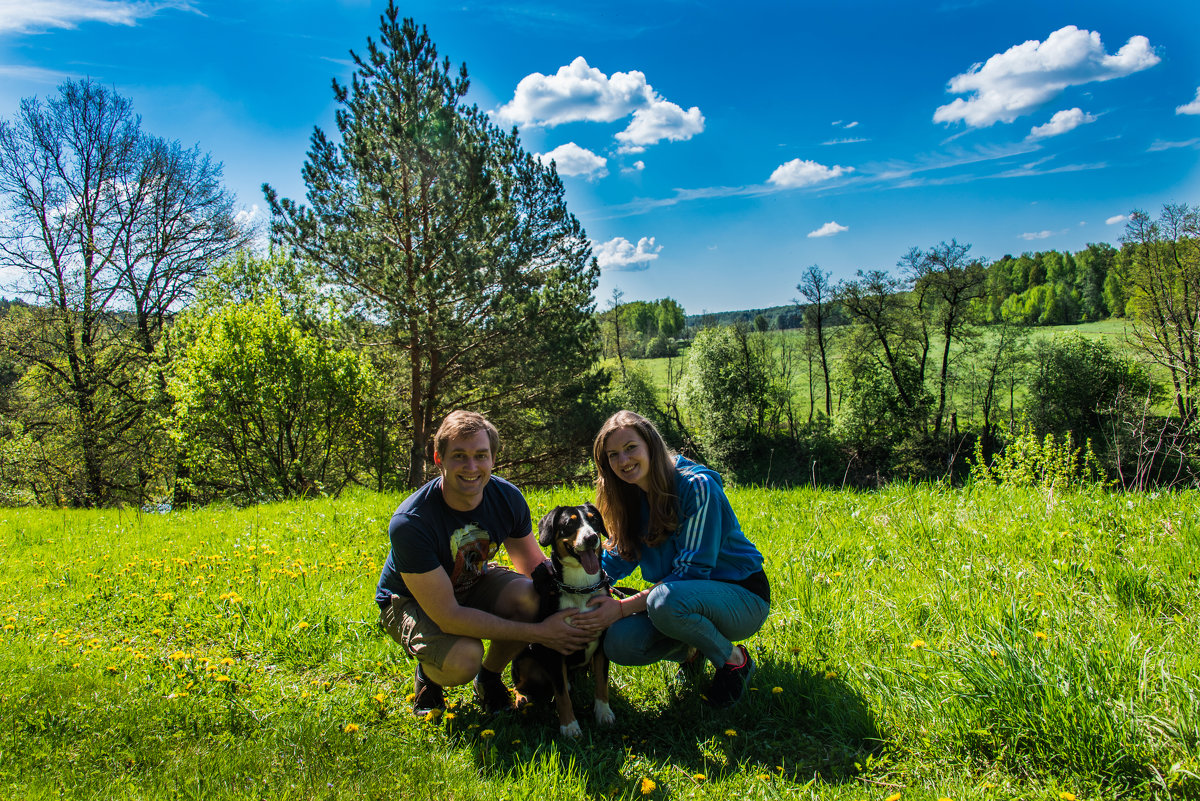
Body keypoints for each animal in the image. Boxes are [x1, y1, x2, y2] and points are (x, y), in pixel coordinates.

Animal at [508, 503, 614, 733]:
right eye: (569, 524)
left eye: (594, 520)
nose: (591, 538)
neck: (580, 587)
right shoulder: (555, 646)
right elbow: (562, 695)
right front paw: (569, 726)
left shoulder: (602, 645)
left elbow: (602, 683)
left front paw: (603, 713)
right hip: (525, 656)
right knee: (519, 684)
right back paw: (522, 697)